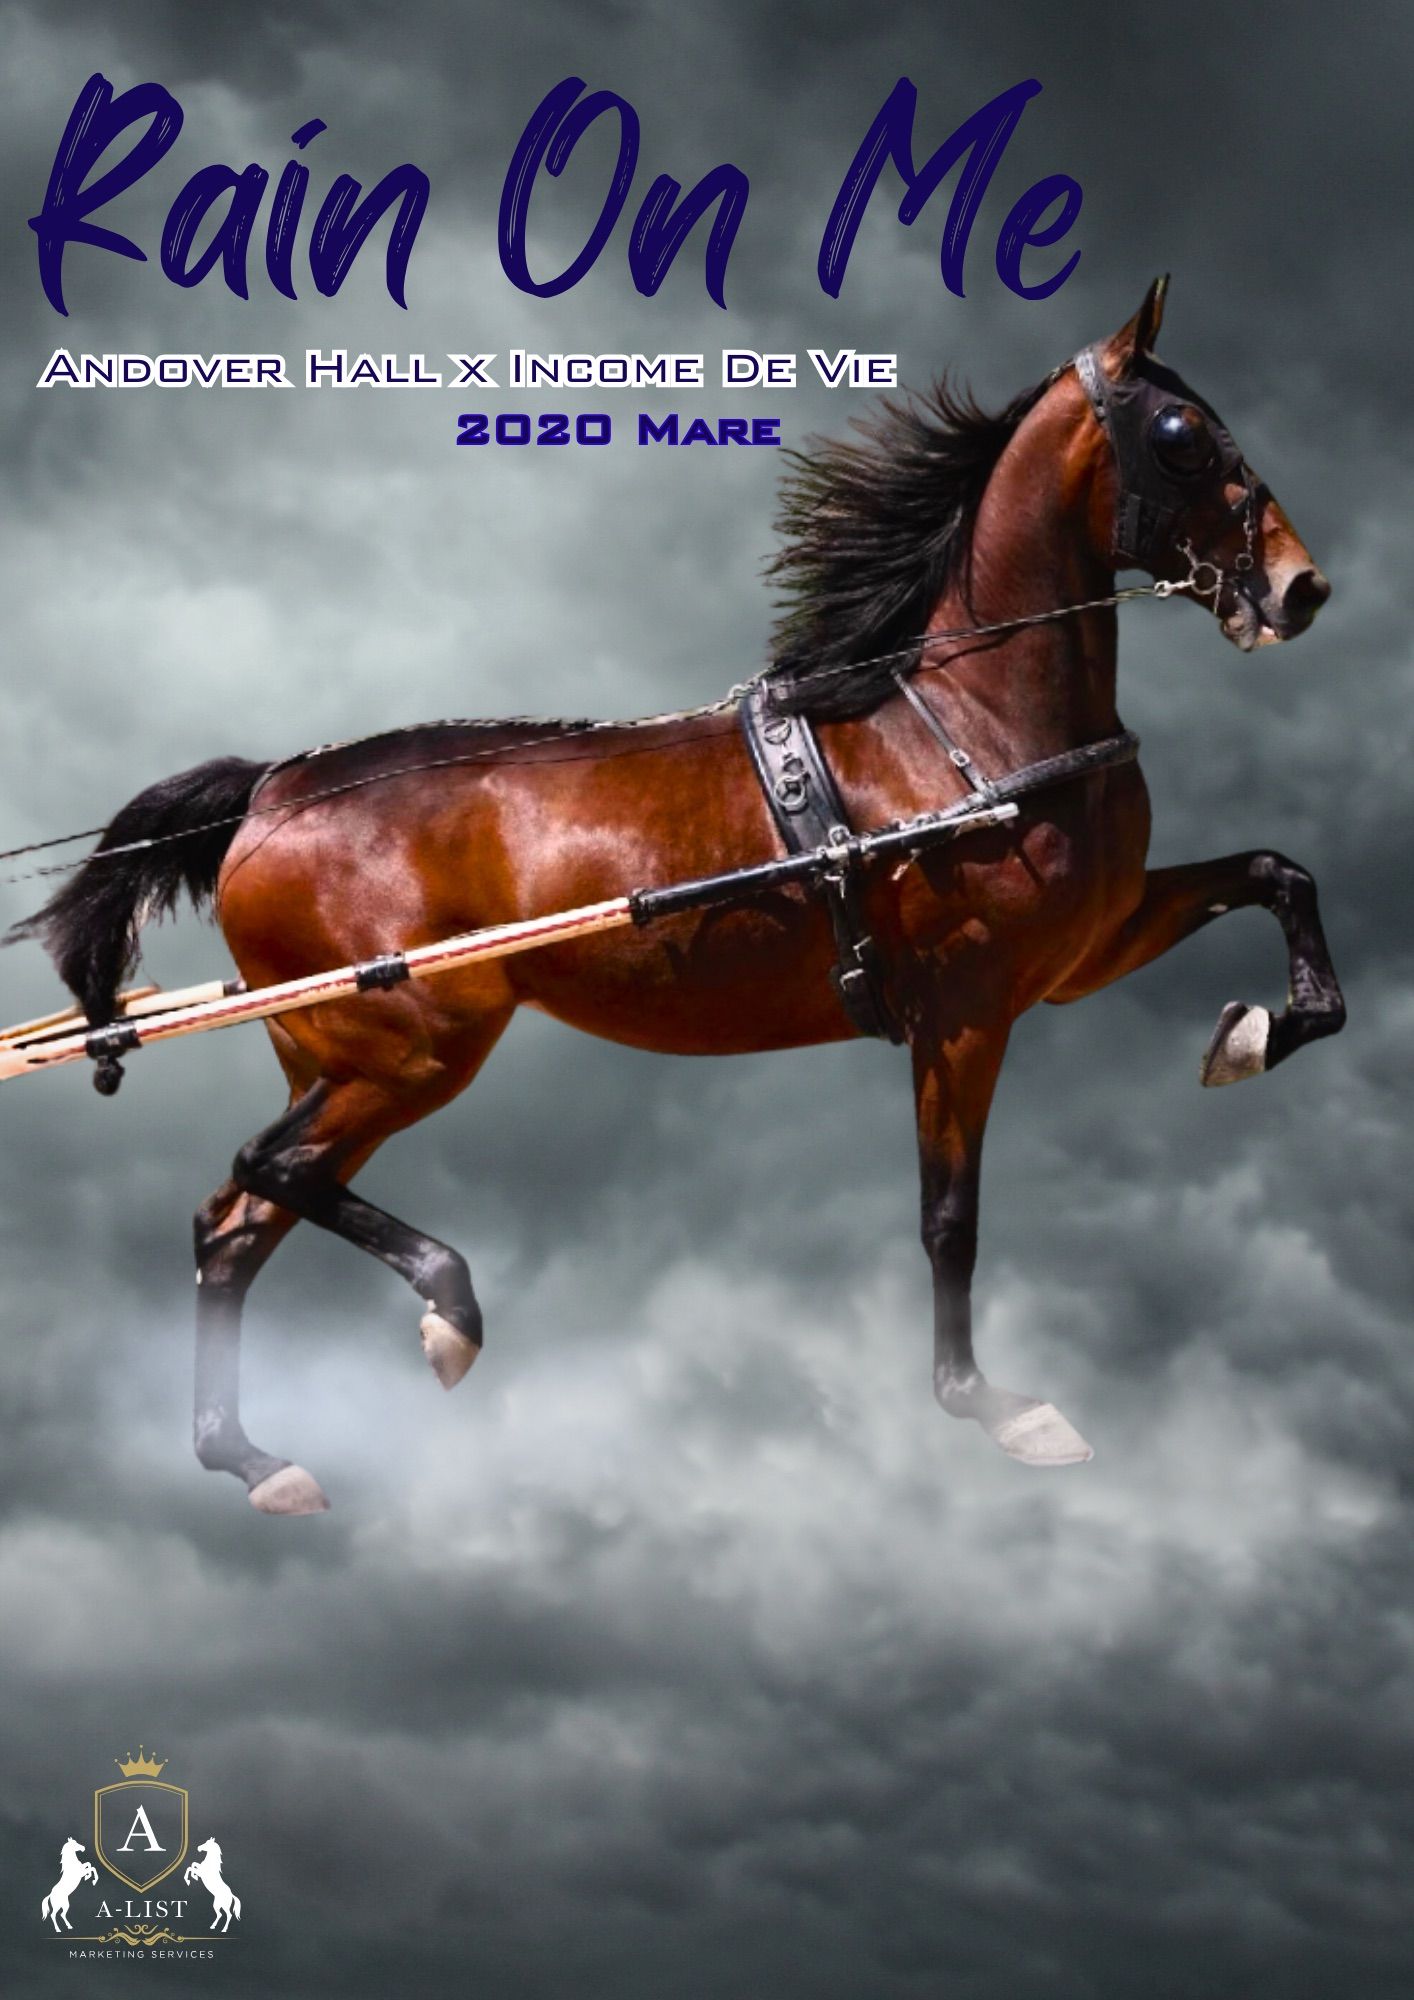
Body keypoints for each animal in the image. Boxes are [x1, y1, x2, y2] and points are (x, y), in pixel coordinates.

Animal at [10, 277, 1342, 1513]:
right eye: (1179, 431)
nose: (1299, 589)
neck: (958, 731)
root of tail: (273, 789)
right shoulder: (965, 1010)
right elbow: (948, 1213)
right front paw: (987, 1403)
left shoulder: (1084, 953)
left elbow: (1280, 877)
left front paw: (1251, 1032)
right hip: (406, 1046)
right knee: (265, 1171)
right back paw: (447, 1308)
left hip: (349, 1063)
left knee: (235, 1221)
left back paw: (251, 1457)